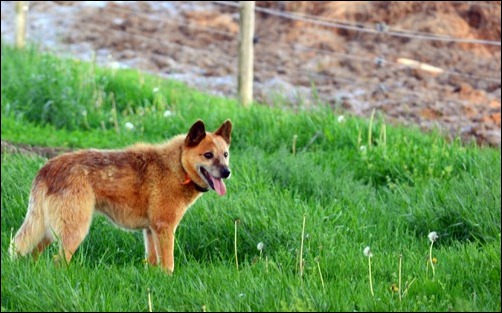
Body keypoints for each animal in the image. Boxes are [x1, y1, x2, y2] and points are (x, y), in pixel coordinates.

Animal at [9, 118, 233, 272]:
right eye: (208, 155)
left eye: (225, 154)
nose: (227, 172)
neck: (177, 166)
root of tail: (47, 169)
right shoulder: (165, 228)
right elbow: (168, 265)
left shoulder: (150, 231)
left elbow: (153, 263)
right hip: (74, 230)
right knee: (58, 261)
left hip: (46, 230)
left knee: (31, 255)